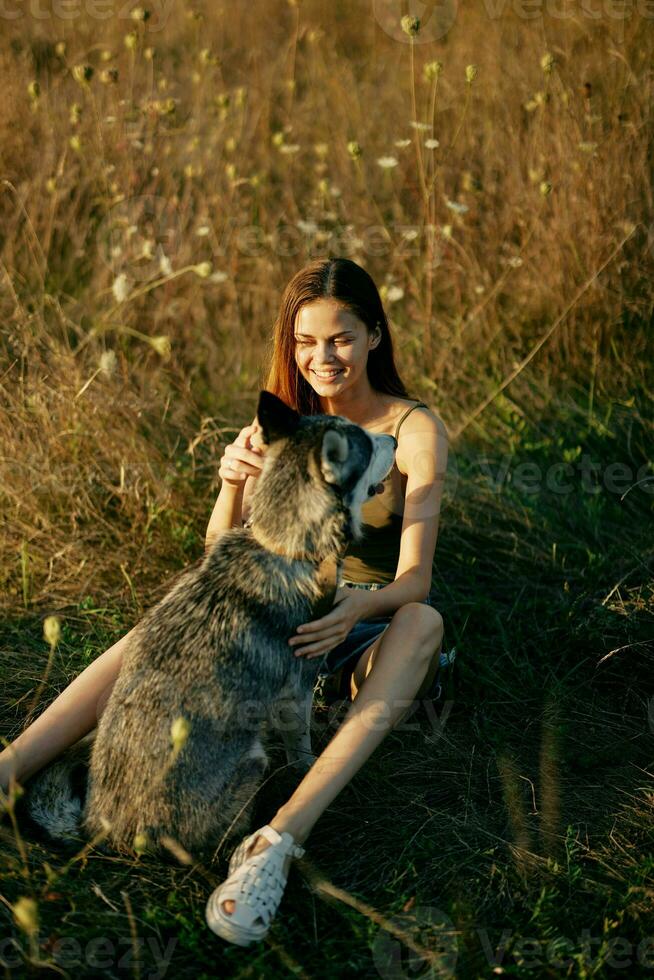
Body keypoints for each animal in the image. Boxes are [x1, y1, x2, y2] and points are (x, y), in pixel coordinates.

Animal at [23, 388, 398, 856]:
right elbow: (301, 748)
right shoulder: (295, 690)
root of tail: (104, 830)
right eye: (368, 443)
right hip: (254, 758)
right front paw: (307, 768)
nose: (396, 440)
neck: (283, 547)